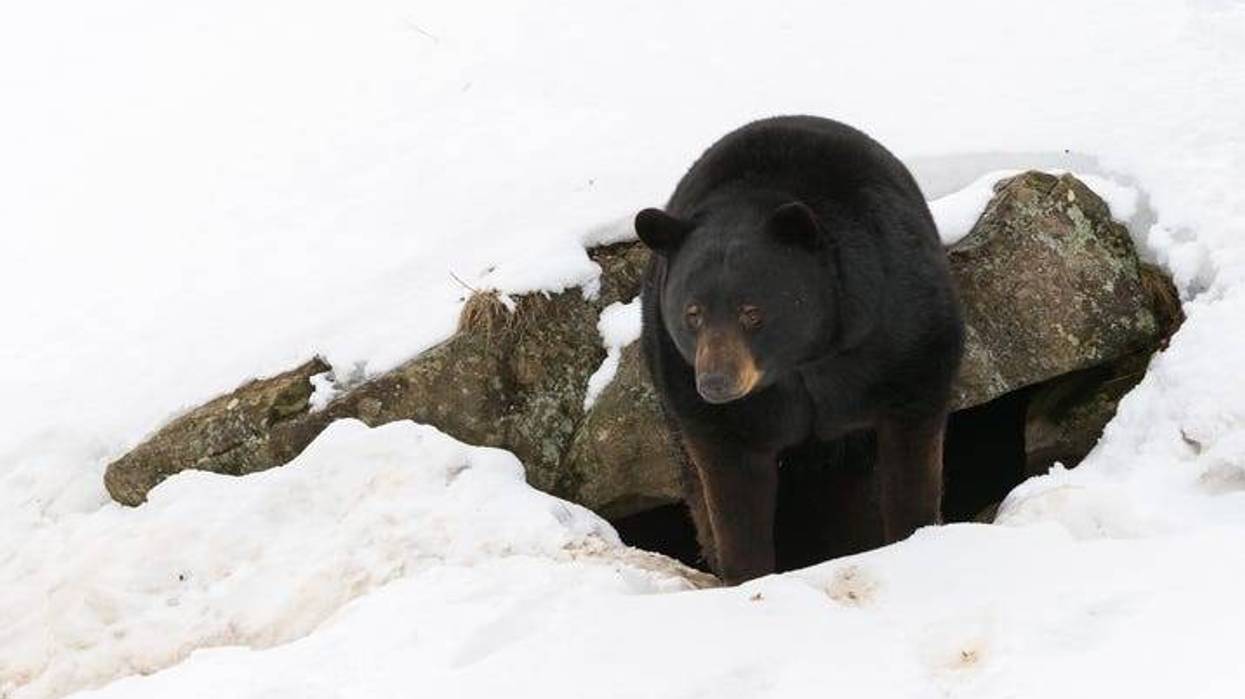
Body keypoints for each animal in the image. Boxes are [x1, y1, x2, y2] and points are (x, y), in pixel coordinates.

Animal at [635, 115, 965, 584]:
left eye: (752, 312)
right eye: (692, 313)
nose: (716, 382)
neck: (802, 362)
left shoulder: (899, 329)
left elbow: (912, 437)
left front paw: (914, 538)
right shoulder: (694, 389)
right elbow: (732, 485)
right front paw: (746, 573)